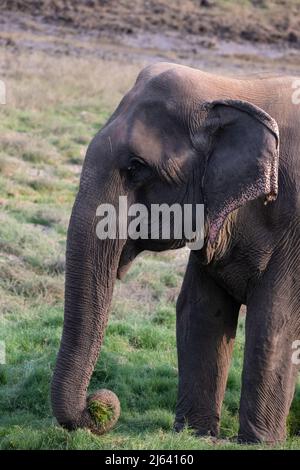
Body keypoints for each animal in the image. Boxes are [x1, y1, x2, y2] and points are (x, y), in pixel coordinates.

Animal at [51, 62, 300, 444]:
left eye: (136, 167)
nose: (101, 403)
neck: (231, 88)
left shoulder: (294, 228)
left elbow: (274, 320)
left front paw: (257, 444)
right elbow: (200, 312)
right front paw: (196, 435)